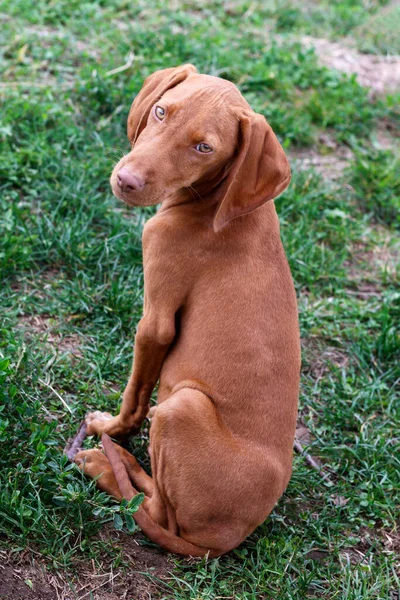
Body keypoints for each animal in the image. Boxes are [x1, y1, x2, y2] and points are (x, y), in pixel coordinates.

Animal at [74, 63, 300, 556]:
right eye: (161, 111)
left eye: (203, 148)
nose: (126, 181)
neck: (215, 206)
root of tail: (221, 542)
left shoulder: (155, 321)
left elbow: (135, 394)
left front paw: (113, 428)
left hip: (183, 406)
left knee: (157, 511)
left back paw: (108, 464)